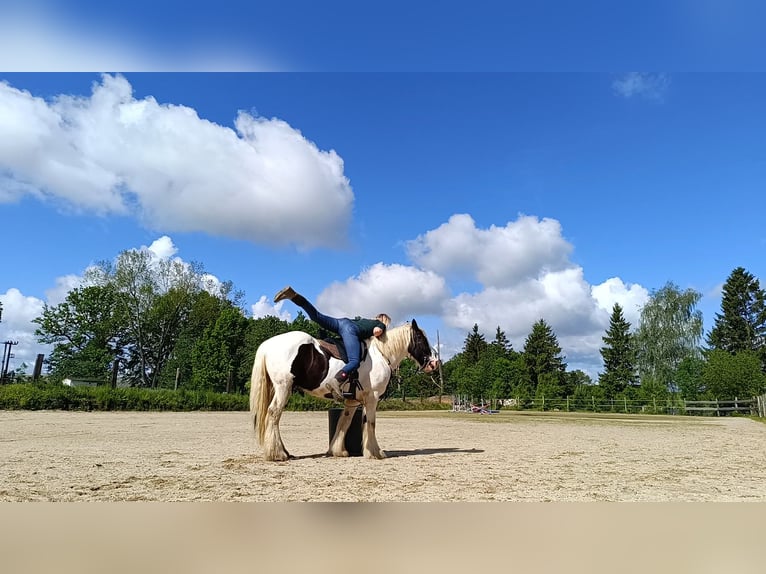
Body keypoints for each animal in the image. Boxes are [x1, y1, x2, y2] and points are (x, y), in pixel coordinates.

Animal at [252, 320, 440, 464]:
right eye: (421, 339)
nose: (434, 363)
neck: (381, 354)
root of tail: (267, 345)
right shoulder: (372, 399)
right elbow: (370, 423)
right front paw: (374, 452)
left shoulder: (353, 402)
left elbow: (344, 422)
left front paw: (337, 451)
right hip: (283, 388)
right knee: (273, 414)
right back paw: (277, 454)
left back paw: (283, 451)